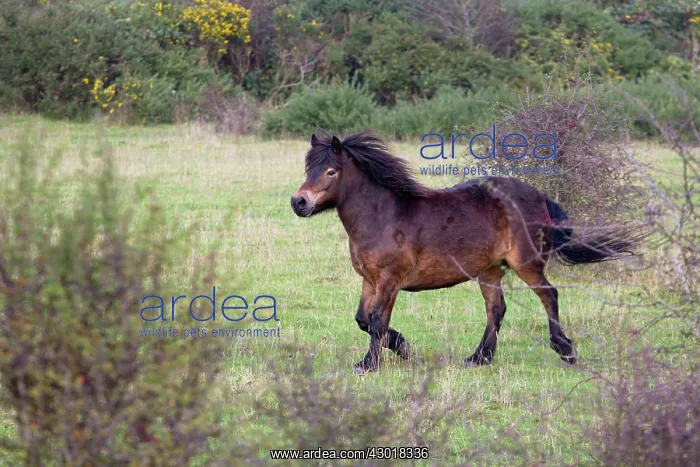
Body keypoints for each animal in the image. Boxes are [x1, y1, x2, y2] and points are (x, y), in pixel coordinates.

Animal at [291, 131, 640, 374]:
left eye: (331, 171)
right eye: (309, 168)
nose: (299, 202)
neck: (383, 217)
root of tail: (539, 195)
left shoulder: (390, 282)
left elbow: (376, 322)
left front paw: (369, 364)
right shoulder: (370, 280)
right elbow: (363, 320)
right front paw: (404, 348)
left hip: (526, 263)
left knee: (548, 295)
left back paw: (565, 349)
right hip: (490, 270)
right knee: (496, 310)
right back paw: (479, 358)